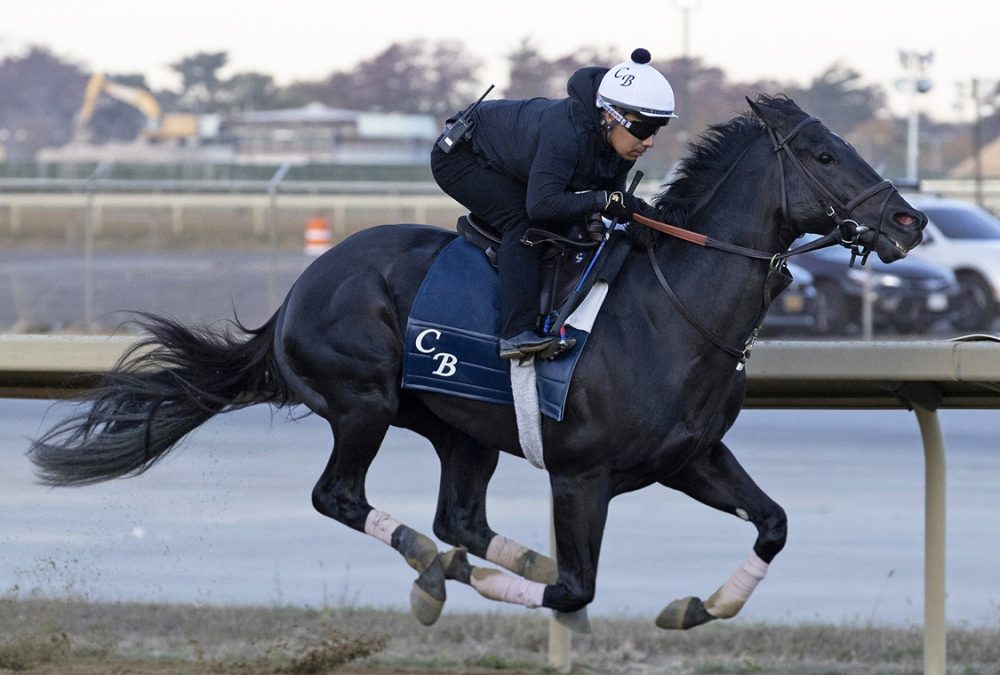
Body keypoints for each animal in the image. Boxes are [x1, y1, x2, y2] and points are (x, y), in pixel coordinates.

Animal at [27, 95, 924, 632]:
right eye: (822, 153)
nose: (908, 221)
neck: (673, 308)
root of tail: (302, 286)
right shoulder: (583, 475)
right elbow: (574, 589)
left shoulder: (691, 455)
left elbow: (773, 522)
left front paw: (696, 604)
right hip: (362, 403)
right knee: (343, 497)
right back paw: (434, 570)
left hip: (462, 428)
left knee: (460, 517)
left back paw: (471, 562)